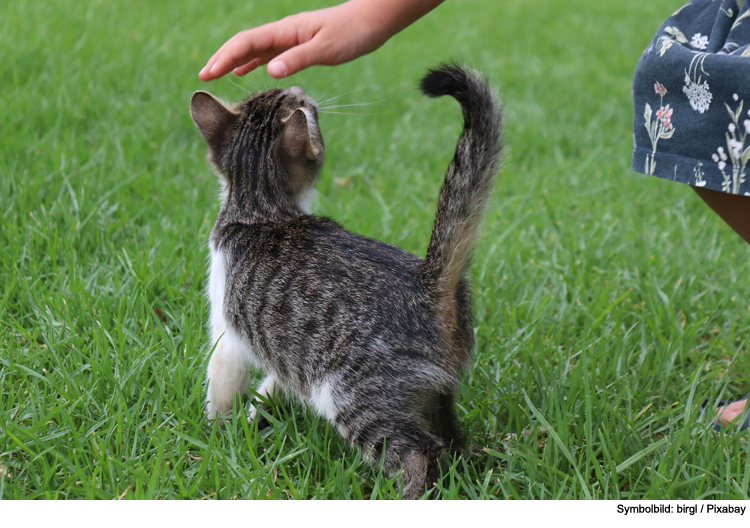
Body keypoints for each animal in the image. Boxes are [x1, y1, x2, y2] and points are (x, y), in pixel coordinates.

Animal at [189, 64, 506, 498]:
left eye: (302, 103)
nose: (298, 85)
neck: (260, 208)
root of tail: (428, 283)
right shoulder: (295, 354)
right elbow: (275, 382)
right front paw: (258, 414)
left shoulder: (228, 332)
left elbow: (221, 384)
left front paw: (218, 435)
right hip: (432, 391)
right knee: (452, 441)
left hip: (352, 394)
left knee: (420, 452)